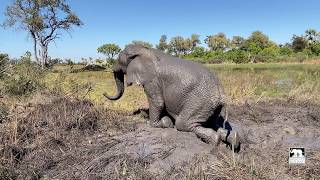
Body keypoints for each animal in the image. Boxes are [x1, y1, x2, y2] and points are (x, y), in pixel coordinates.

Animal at [104, 44, 240, 150]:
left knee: (183, 124)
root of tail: (221, 94)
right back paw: (233, 140)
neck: (145, 50)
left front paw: (159, 123)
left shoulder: (151, 79)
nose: (104, 93)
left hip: (200, 102)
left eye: (119, 59)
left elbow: (157, 102)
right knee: (214, 124)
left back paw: (213, 143)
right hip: (211, 106)